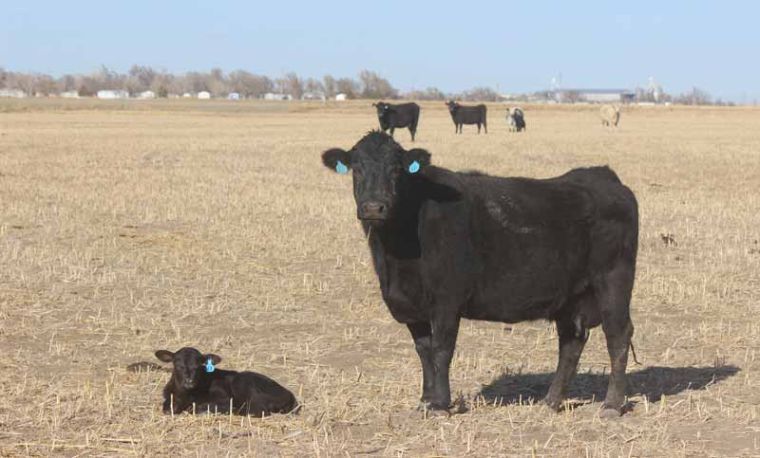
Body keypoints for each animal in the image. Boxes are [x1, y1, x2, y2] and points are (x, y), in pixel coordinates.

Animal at [155, 347, 298, 416]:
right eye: (177, 365)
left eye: (199, 365)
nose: (189, 380)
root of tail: (289, 395)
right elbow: (167, 408)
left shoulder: (224, 397)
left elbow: (197, 407)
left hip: (242, 382)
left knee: (258, 411)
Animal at [321, 131, 638, 418]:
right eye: (356, 168)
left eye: (397, 169)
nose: (374, 207)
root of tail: (603, 176)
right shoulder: (410, 307)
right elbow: (423, 351)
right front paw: (425, 401)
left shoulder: (447, 301)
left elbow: (441, 351)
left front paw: (440, 404)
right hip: (571, 295)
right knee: (571, 342)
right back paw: (550, 401)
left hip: (613, 281)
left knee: (617, 335)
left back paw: (611, 405)